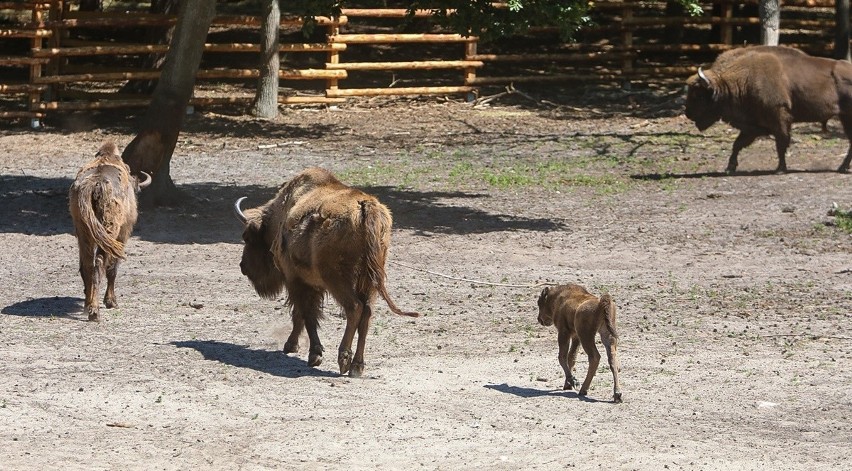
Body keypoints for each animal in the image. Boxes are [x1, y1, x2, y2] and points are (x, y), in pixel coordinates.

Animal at [70, 142, 151, 322]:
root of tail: (94, 185)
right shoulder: (123, 234)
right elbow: (113, 268)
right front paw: (111, 302)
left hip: (84, 233)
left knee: (87, 265)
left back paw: (88, 305)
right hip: (109, 233)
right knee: (100, 264)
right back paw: (94, 312)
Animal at [233, 168, 420, 378]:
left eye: (247, 237)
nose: (243, 267)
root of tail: (367, 208)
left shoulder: (295, 280)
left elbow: (305, 314)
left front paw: (311, 354)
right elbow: (303, 314)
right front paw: (293, 346)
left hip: (337, 280)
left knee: (354, 307)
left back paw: (344, 361)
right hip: (370, 281)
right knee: (367, 313)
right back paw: (357, 366)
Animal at [684, 45, 852, 174]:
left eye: (698, 95)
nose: (688, 113)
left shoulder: (779, 118)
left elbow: (781, 143)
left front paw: (780, 169)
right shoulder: (753, 126)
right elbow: (737, 144)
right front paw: (730, 168)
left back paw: (842, 168)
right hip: (845, 118)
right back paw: (842, 168)